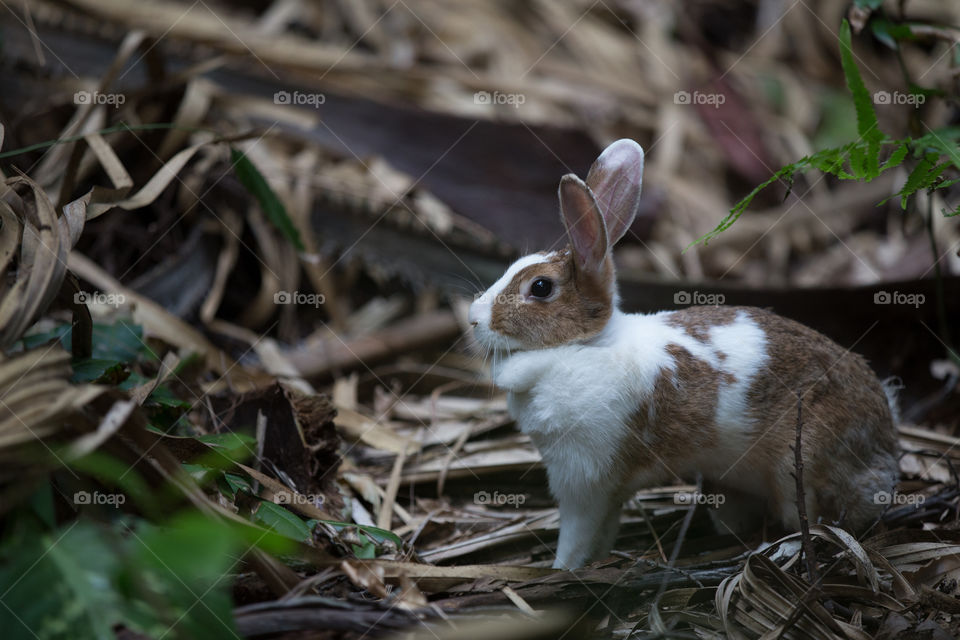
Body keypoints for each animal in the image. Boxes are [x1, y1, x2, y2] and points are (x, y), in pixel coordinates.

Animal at [468, 140, 904, 568]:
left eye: (540, 287)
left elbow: (575, 538)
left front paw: (562, 571)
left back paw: (781, 550)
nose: (473, 318)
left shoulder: (584, 481)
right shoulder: (603, 491)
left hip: (802, 465)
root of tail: (886, 443)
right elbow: (603, 532)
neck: (583, 345)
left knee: (818, 522)